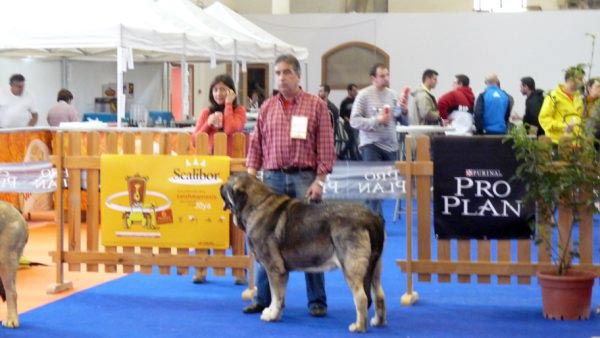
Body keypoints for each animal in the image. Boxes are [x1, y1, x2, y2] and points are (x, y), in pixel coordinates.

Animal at [223, 174, 386, 332]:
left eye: (228, 185)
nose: (221, 186)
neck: (257, 205)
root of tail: (371, 218)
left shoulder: (274, 269)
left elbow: (276, 295)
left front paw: (272, 315)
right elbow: (279, 296)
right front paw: (274, 312)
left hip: (352, 268)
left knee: (362, 297)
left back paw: (358, 327)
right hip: (374, 268)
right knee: (379, 294)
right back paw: (378, 322)